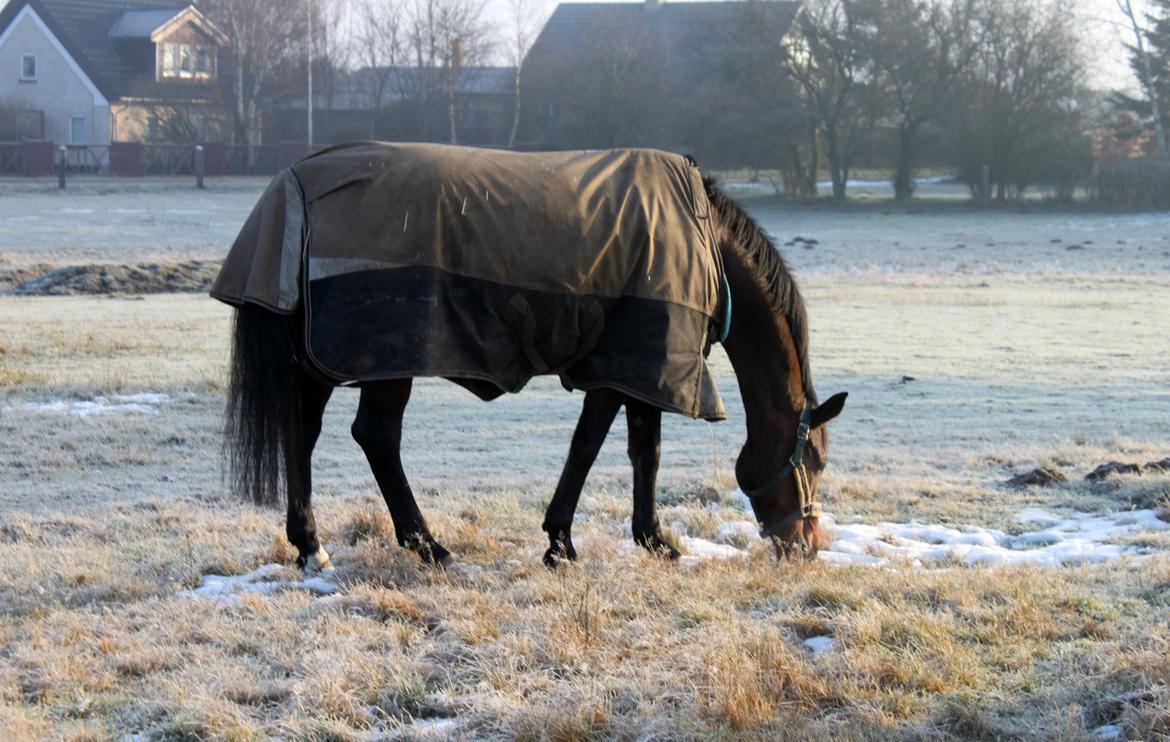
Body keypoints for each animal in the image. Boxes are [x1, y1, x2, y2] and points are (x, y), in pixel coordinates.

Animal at [215, 141, 847, 568]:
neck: (703, 240)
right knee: (375, 436)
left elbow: (642, 451)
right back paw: (427, 545)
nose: (807, 545)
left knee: (302, 433)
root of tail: (290, 189)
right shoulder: (624, 367)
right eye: (815, 461)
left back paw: (311, 546)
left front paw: (648, 538)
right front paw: (564, 541)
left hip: (323, 358)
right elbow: (595, 449)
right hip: (387, 357)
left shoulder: (640, 367)